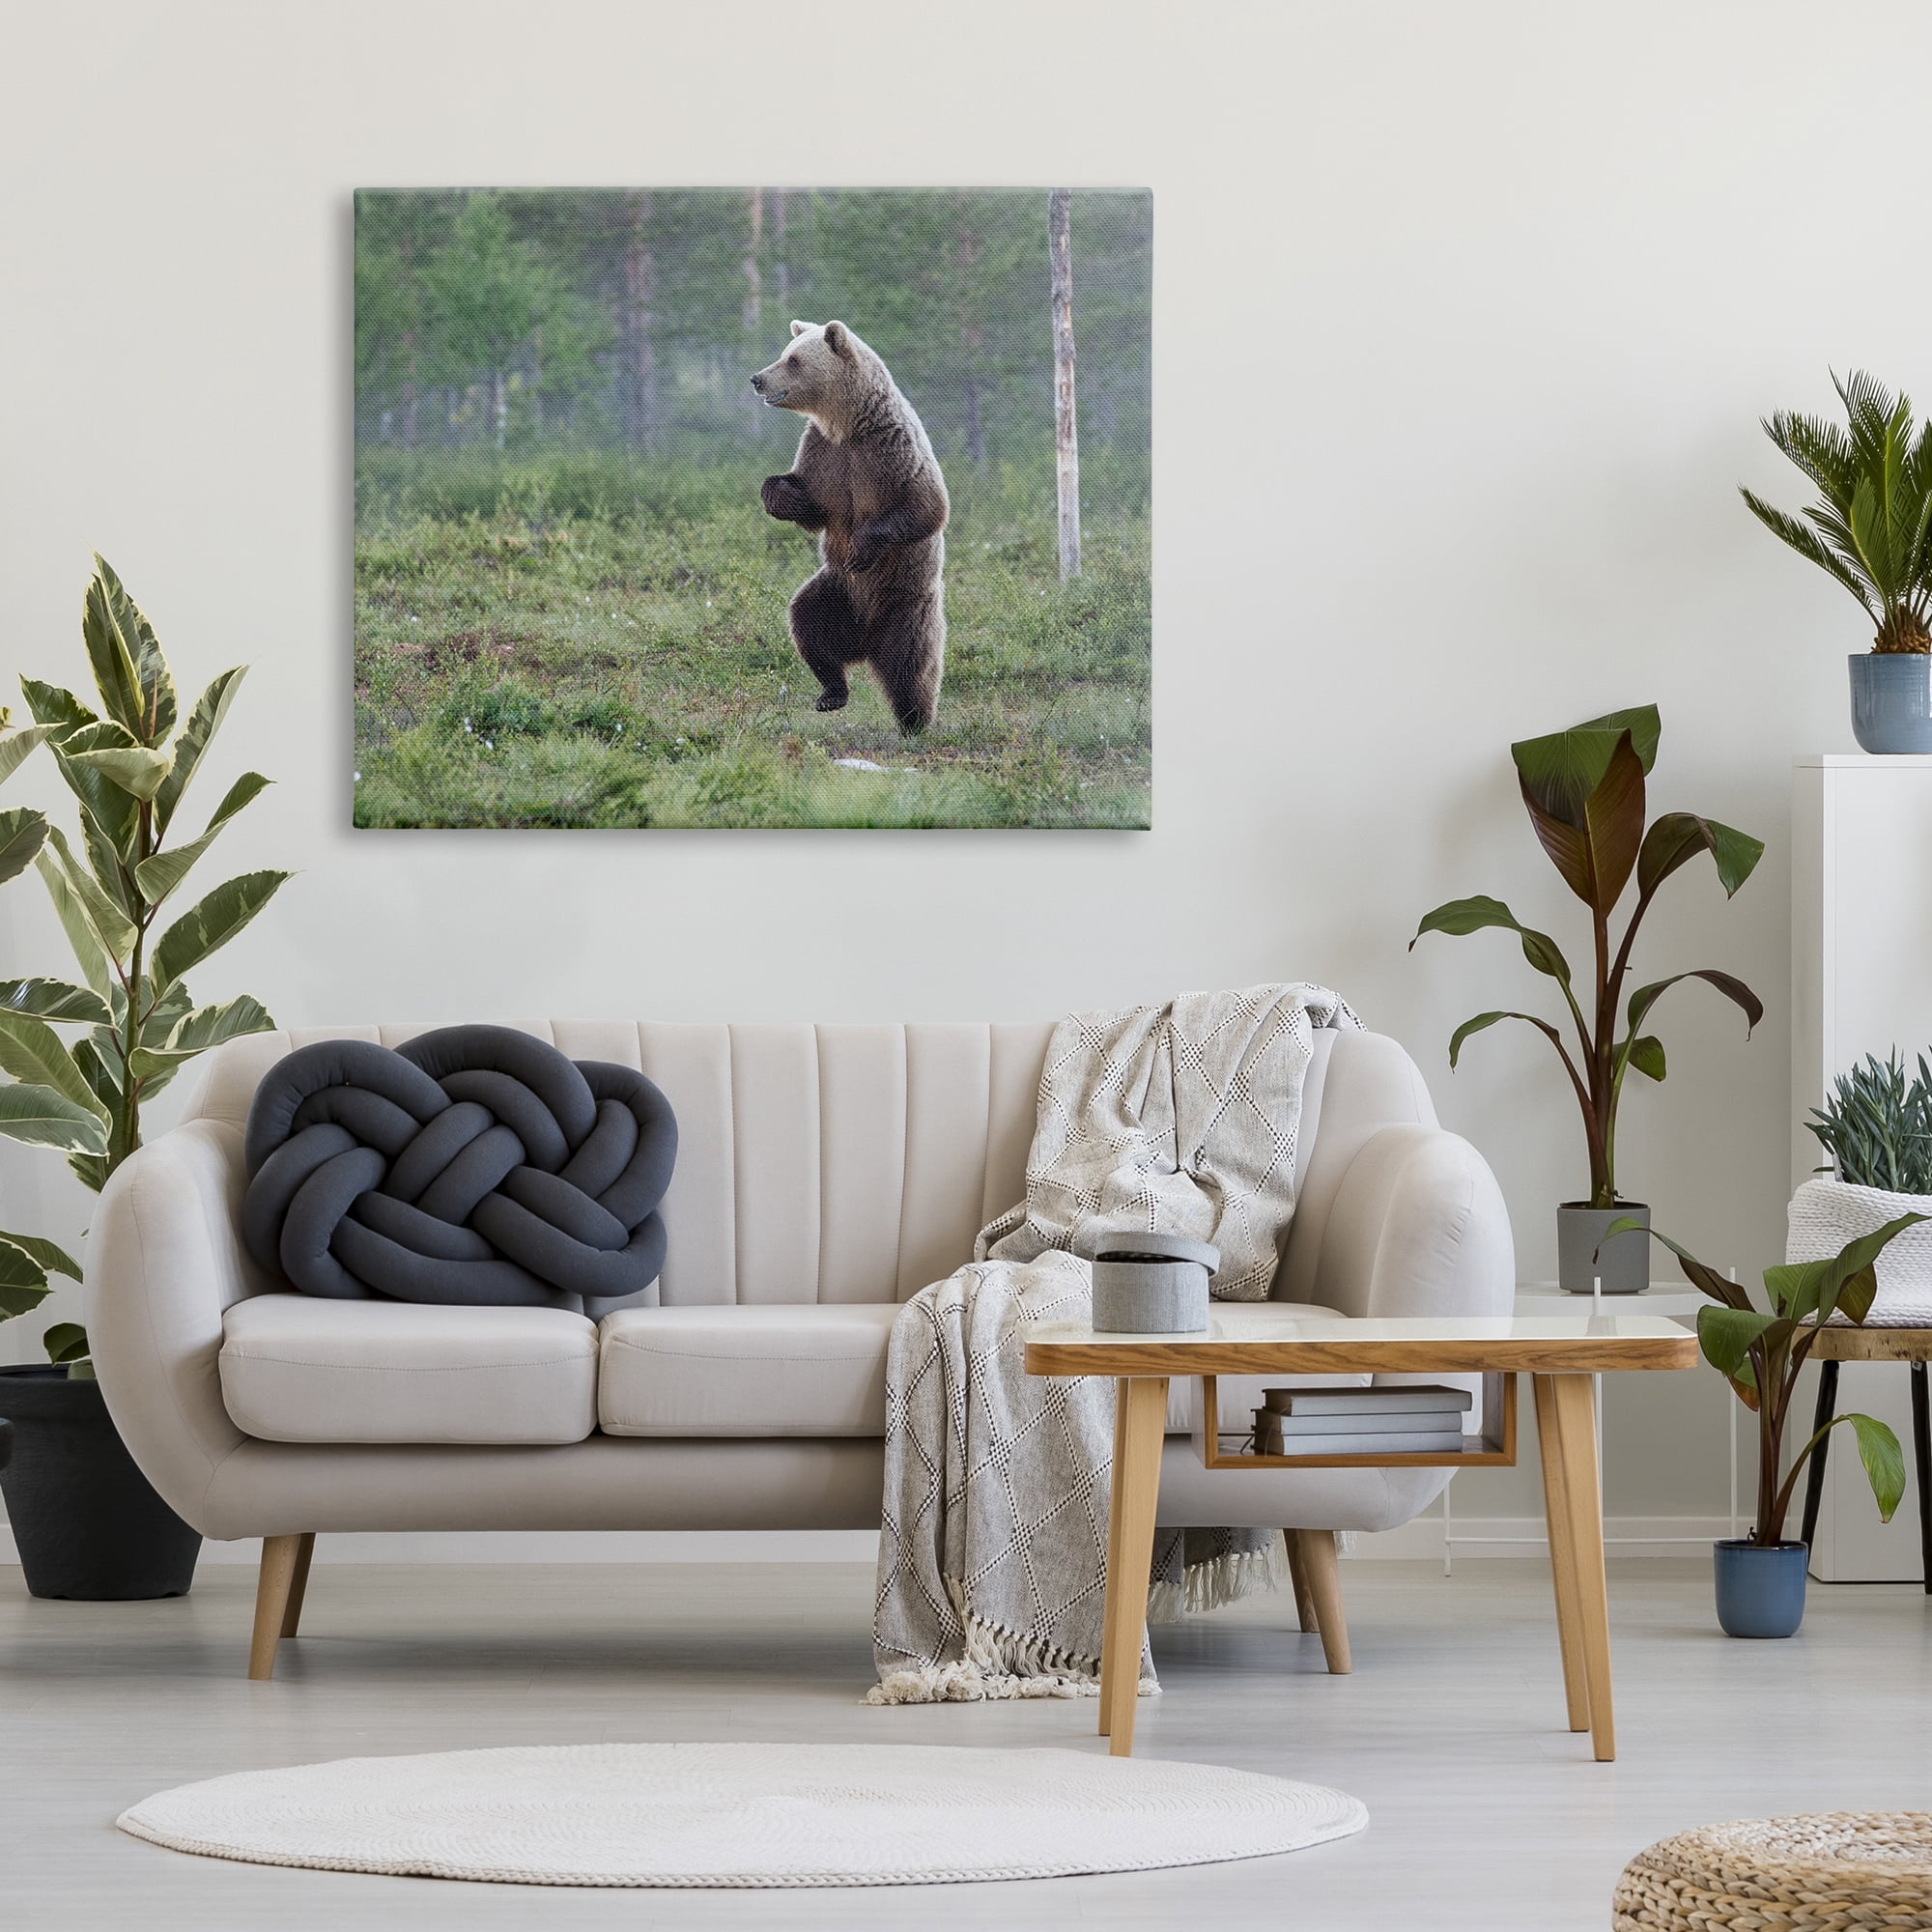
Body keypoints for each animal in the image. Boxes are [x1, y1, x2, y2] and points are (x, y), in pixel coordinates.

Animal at [751, 320, 949, 733]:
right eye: (785, 352)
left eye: (793, 360)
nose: (757, 378)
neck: (847, 425)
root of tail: (866, 641)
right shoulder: (824, 455)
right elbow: (811, 504)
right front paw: (778, 494)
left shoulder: (890, 451)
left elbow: (927, 507)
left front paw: (861, 549)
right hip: (835, 592)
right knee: (807, 623)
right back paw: (831, 693)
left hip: (905, 604)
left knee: (912, 667)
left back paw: (915, 722)